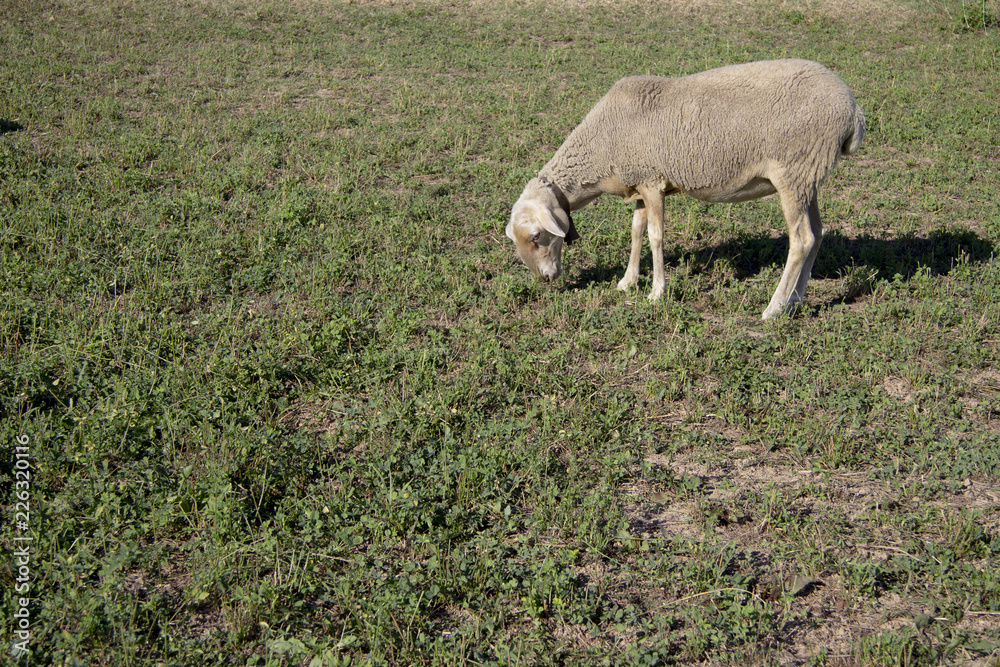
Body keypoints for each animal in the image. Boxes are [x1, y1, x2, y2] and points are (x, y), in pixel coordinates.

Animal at [505, 58, 865, 320]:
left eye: (536, 236)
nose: (545, 279)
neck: (601, 147)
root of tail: (853, 109)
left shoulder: (652, 182)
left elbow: (655, 236)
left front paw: (656, 292)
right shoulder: (639, 183)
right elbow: (636, 231)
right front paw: (627, 282)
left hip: (793, 172)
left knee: (801, 240)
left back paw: (774, 308)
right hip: (808, 175)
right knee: (817, 234)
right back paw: (796, 300)